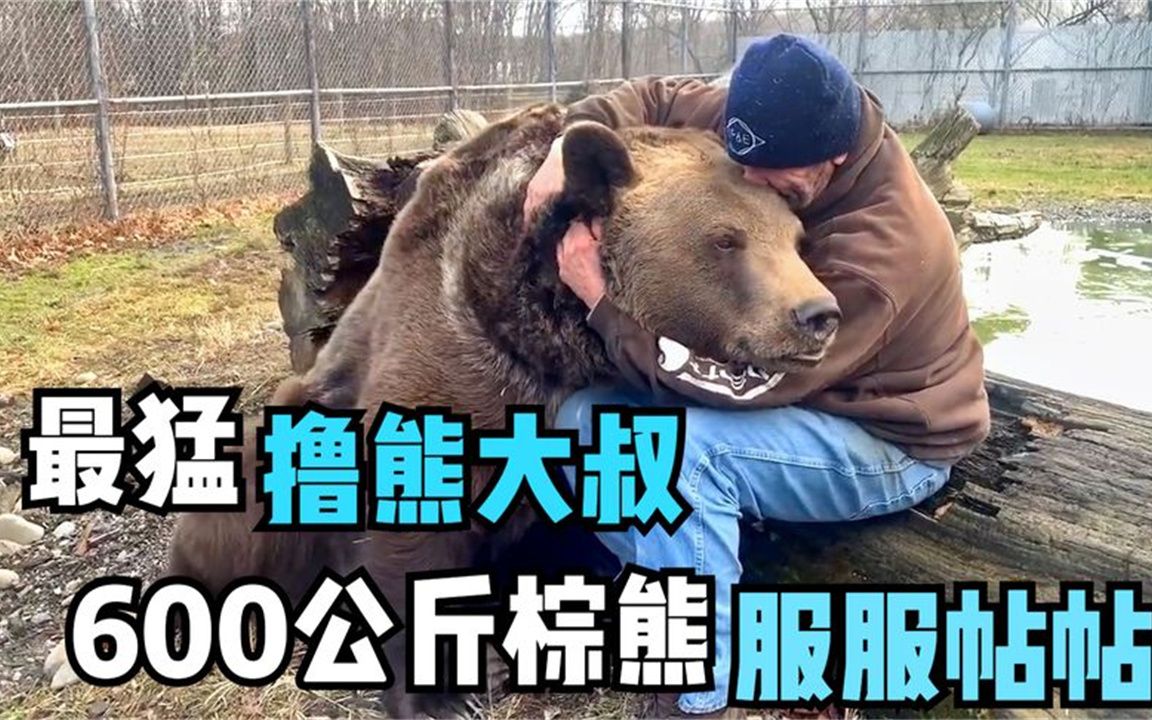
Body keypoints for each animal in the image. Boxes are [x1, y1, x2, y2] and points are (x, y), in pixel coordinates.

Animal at [163, 102, 837, 717]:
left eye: (796, 239)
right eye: (725, 239)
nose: (817, 315)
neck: (555, 338)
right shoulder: (450, 358)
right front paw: (441, 693)